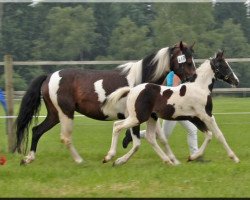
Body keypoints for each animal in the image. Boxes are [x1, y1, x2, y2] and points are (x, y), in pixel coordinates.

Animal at [15, 41, 197, 164]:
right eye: (186, 60)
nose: (193, 78)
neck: (141, 80)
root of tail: (49, 76)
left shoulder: (147, 116)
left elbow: (161, 139)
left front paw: (173, 160)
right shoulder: (135, 117)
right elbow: (137, 143)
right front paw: (114, 158)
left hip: (54, 114)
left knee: (37, 130)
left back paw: (28, 159)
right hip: (66, 113)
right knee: (64, 137)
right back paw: (80, 161)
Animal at [103, 51, 240, 166]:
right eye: (225, 66)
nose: (236, 81)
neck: (199, 88)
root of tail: (131, 90)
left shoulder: (195, 118)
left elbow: (209, 135)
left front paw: (192, 157)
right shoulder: (206, 116)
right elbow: (219, 135)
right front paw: (234, 158)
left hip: (150, 118)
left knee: (150, 137)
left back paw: (166, 160)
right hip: (138, 117)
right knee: (117, 126)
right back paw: (109, 157)